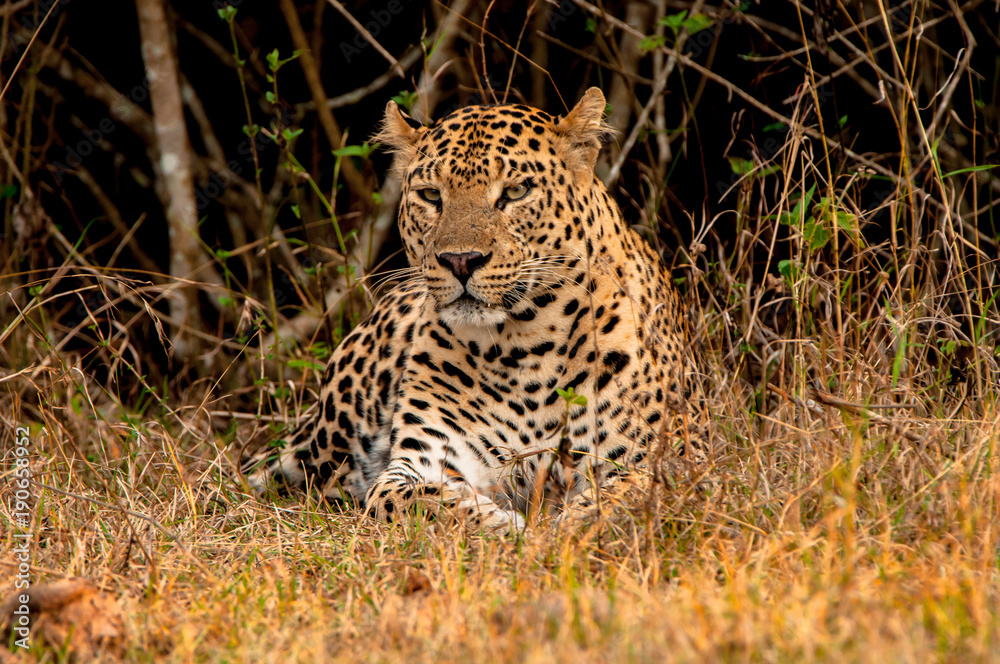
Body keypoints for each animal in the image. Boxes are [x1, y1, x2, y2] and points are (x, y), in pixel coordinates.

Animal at [242, 88, 712, 531]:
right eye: (431, 195)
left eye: (517, 191)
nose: (461, 260)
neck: (527, 345)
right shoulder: (427, 457)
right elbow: (412, 498)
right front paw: (506, 527)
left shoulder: (672, 456)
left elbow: (617, 501)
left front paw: (561, 530)